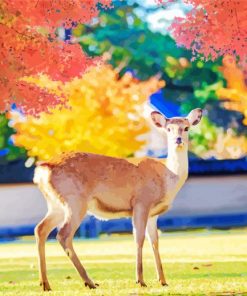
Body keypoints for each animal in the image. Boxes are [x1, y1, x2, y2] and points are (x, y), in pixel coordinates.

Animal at [32, 107, 203, 290]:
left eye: (186, 128)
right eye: (168, 129)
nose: (178, 140)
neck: (167, 176)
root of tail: (42, 171)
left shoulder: (153, 214)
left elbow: (155, 241)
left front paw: (163, 280)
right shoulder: (141, 202)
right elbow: (139, 238)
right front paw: (140, 280)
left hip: (56, 205)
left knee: (40, 229)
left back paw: (45, 283)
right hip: (75, 200)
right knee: (63, 234)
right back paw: (89, 281)